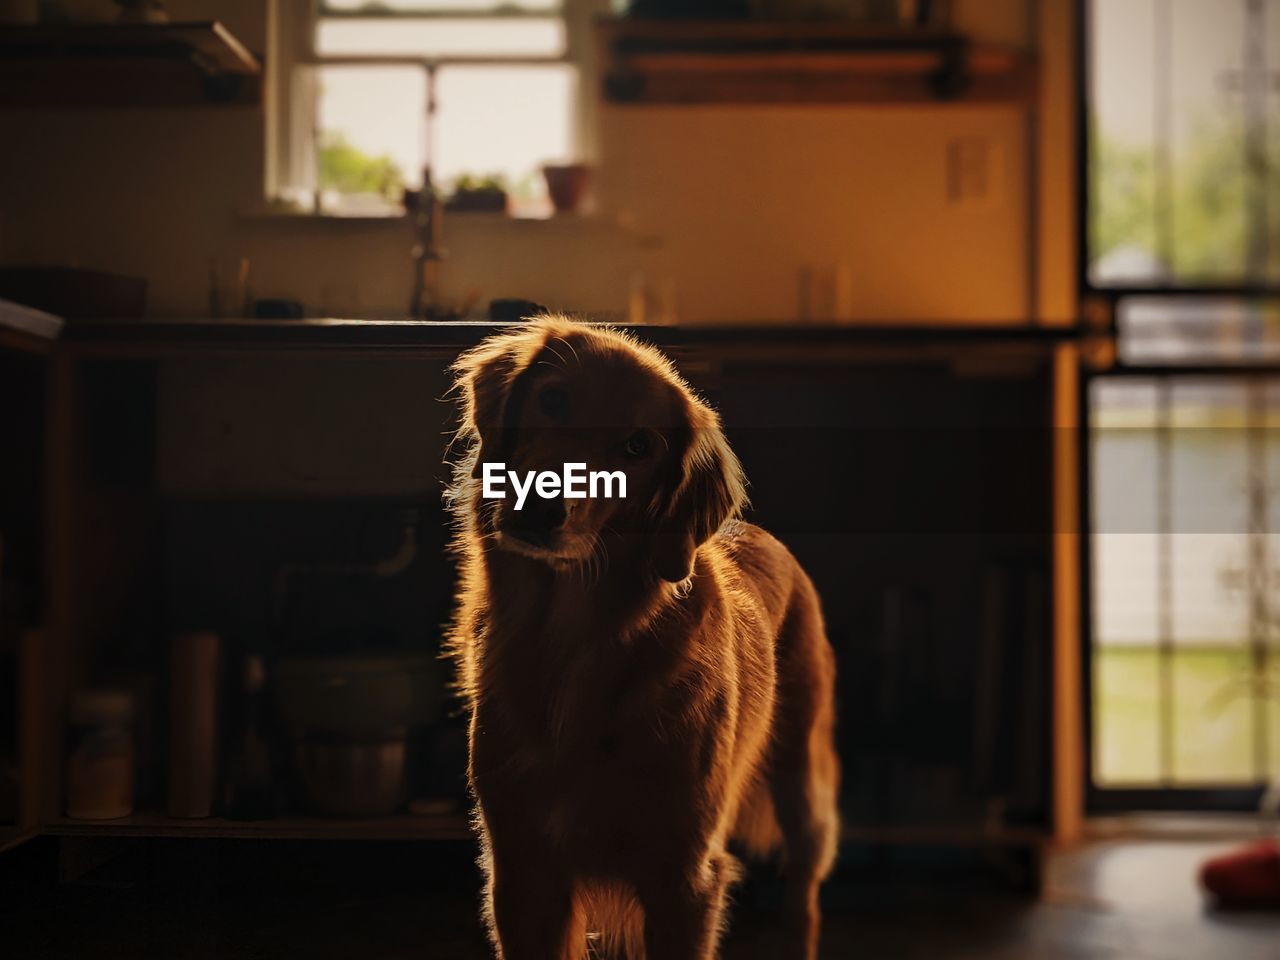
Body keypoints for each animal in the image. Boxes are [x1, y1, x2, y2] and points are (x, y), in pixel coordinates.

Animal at [448, 320, 839, 957]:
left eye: (638, 447)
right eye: (553, 398)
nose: (541, 506)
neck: (575, 643)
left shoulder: (682, 878)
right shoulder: (526, 871)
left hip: (801, 784)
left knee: (802, 900)